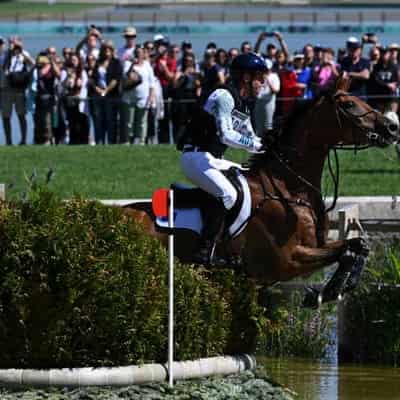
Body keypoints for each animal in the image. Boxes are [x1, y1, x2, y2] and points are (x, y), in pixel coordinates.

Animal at [122, 77, 400, 310]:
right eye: (350, 104)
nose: (392, 128)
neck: (290, 188)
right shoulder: (288, 261)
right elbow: (347, 250)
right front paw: (328, 291)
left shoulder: (316, 247)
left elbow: (357, 246)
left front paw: (333, 290)